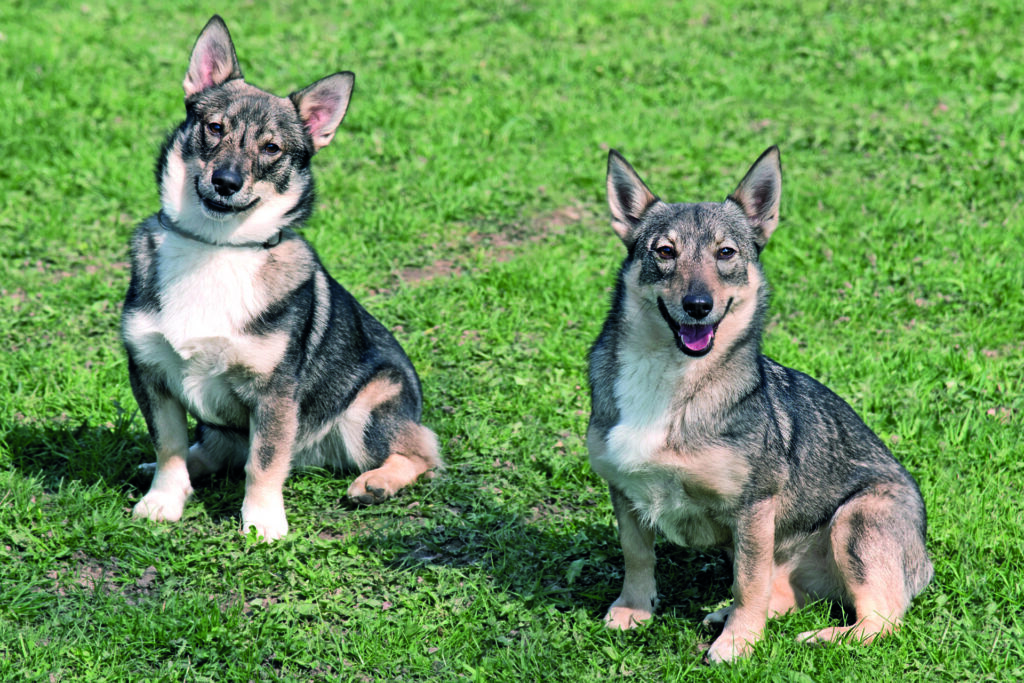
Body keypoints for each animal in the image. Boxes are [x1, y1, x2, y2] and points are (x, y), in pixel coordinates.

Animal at [120, 17, 440, 544]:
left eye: (272, 149)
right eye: (214, 128)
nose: (226, 182)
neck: (217, 246)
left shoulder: (274, 394)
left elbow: (264, 462)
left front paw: (263, 522)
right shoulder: (151, 372)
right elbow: (169, 446)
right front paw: (163, 500)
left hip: (369, 406)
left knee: (423, 452)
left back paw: (376, 483)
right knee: (209, 450)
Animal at [589, 148, 933, 663]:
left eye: (726, 253)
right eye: (665, 251)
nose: (697, 304)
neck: (671, 378)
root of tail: (924, 557)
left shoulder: (753, 508)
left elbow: (747, 583)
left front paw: (739, 643)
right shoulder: (624, 489)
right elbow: (637, 555)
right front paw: (633, 610)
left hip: (856, 519)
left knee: (883, 620)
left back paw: (820, 637)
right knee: (789, 595)